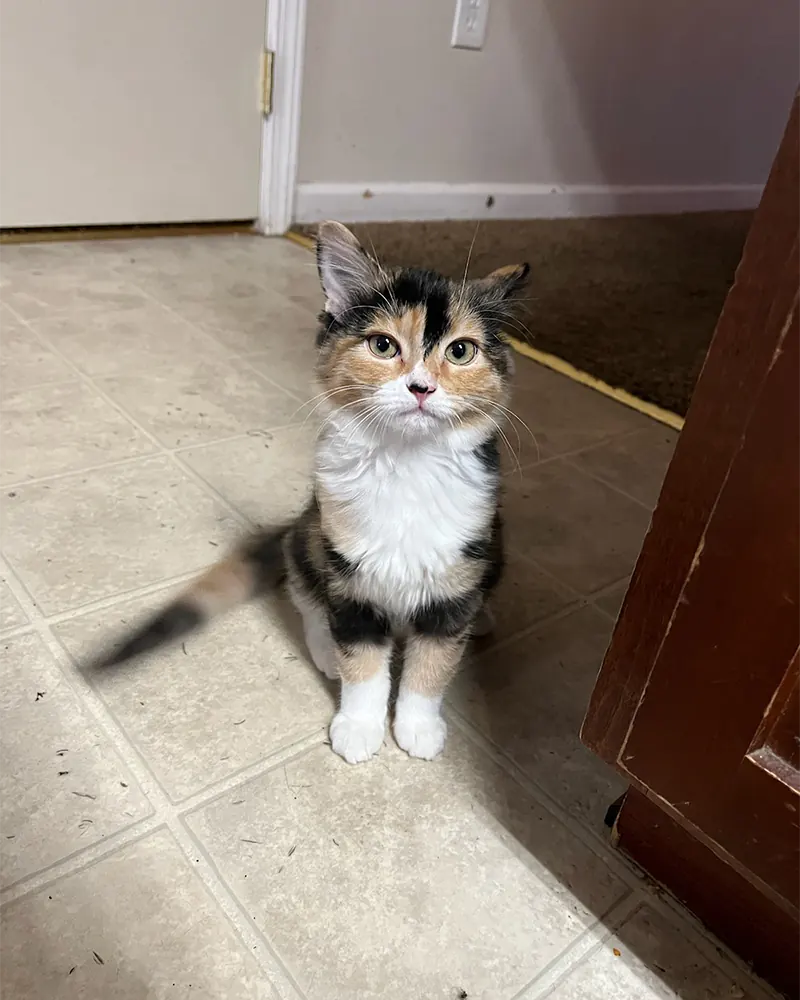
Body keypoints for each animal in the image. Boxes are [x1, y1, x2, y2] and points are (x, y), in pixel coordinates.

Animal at [98, 223, 524, 760]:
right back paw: (325, 653)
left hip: (494, 542)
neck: (405, 463)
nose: (421, 388)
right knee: (306, 598)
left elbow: (431, 667)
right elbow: (362, 665)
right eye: (383, 346)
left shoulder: (453, 580)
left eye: (461, 351)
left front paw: (418, 728)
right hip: (309, 537)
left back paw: (481, 616)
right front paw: (359, 726)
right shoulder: (351, 579)